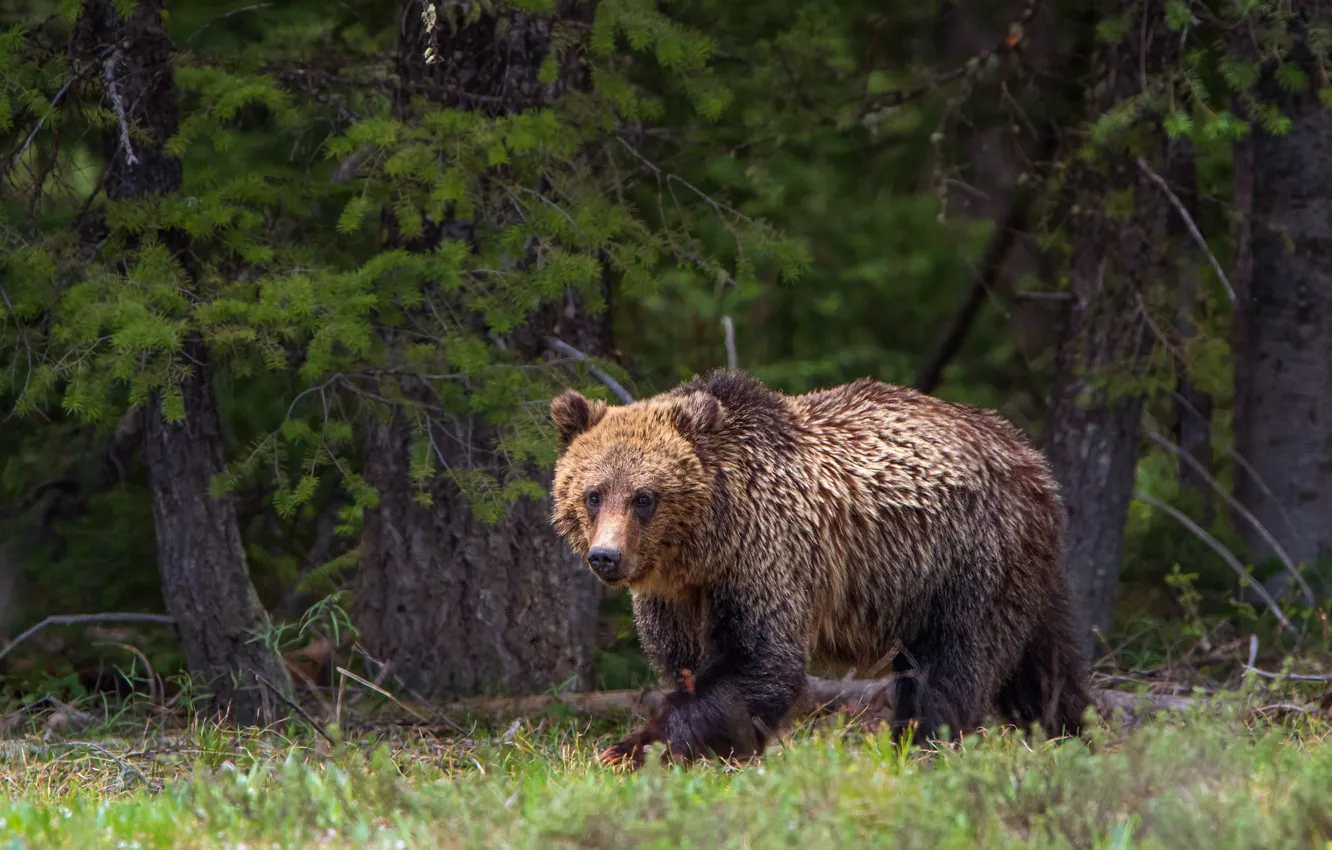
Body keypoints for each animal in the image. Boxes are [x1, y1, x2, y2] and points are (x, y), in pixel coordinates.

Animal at [551, 370, 1092, 767]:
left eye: (644, 497)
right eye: (593, 494)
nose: (606, 556)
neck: (704, 548)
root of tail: (1027, 453)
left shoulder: (766, 555)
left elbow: (758, 663)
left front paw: (631, 749)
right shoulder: (676, 595)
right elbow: (686, 664)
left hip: (966, 561)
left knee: (951, 666)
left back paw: (923, 749)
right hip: (1020, 573)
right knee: (1046, 662)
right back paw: (1067, 735)